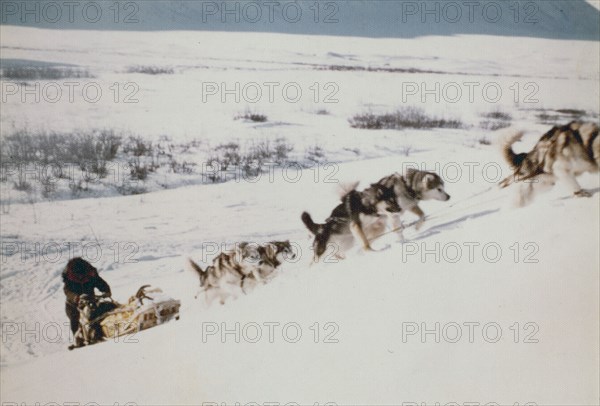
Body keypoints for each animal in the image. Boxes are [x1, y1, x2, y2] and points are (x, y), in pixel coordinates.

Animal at [300, 170, 450, 262]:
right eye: (439, 189)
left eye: (443, 188)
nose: (448, 196)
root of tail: (322, 227)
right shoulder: (380, 219)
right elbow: (392, 233)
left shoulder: (397, 213)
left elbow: (421, 216)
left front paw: (415, 229)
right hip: (324, 249)